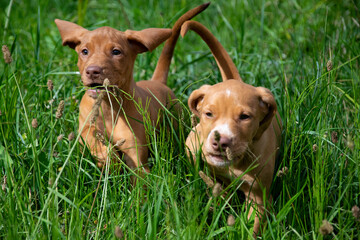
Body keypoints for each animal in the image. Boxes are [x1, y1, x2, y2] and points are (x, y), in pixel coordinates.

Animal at [183, 20, 282, 234]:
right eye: (209, 114)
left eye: (245, 117)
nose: (221, 141)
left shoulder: (259, 196)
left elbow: (253, 225)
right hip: (192, 146)